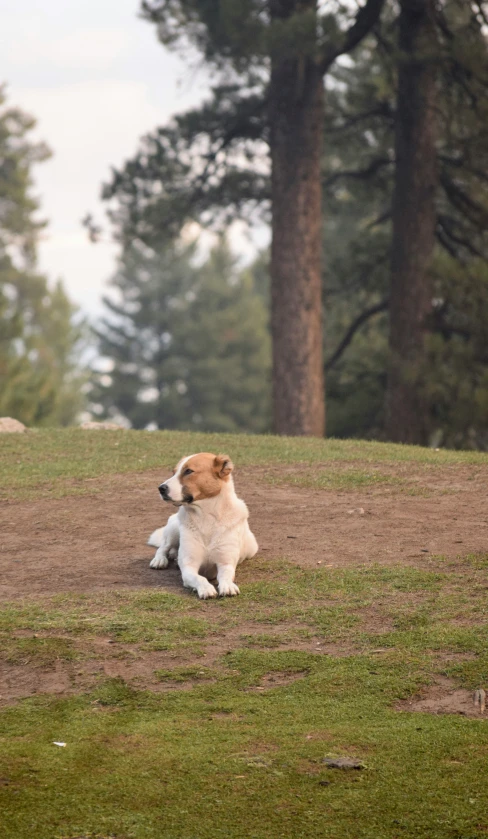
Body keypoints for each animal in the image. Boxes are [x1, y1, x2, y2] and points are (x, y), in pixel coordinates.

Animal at [147, 456, 258, 600]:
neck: (206, 517)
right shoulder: (189, 567)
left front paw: (227, 586)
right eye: (173, 472)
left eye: (188, 471)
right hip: (173, 530)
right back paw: (160, 560)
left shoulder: (225, 563)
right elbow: (200, 578)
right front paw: (206, 588)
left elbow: (225, 576)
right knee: (163, 547)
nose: (160, 488)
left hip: (252, 548)